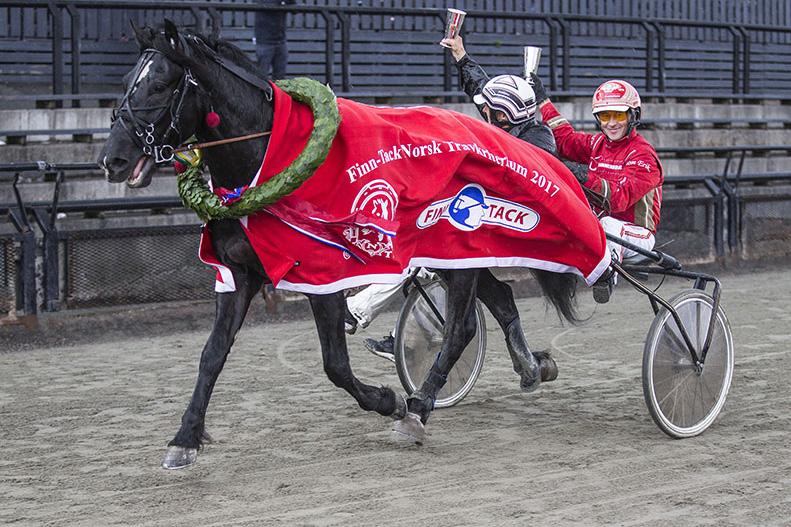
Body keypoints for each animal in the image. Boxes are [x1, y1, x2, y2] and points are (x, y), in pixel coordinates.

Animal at [99, 21, 580, 470]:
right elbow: (211, 355)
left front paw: (388, 400)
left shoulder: (323, 273)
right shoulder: (239, 272)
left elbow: (335, 364)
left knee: (459, 329)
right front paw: (185, 437)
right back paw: (530, 367)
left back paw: (418, 408)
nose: (112, 160)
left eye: (161, 84)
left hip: (457, 248)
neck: (270, 157)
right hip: (456, 255)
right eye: (125, 80)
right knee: (499, 299)